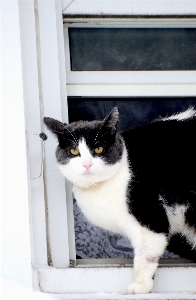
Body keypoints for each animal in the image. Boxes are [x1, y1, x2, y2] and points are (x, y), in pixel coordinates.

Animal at [44, 106, 196, 294]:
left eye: (99, 149)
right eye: (73, 151)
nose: (87, 164)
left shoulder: (150, 218)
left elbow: (145, 257)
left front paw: (141, 286)